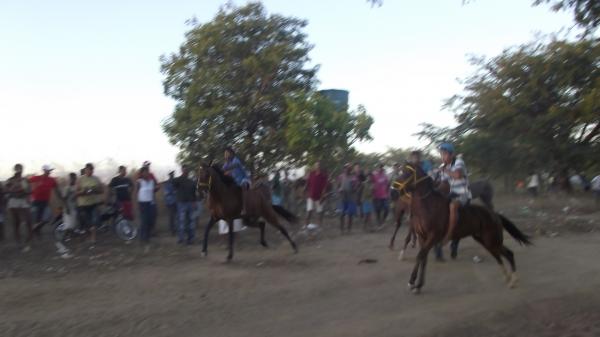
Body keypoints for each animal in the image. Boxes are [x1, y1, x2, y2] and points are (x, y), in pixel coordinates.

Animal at [396, 162, 532, 292]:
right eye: (400, 171)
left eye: (407, 172)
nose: (394, 188)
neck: (428, 206)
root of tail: (495, 215)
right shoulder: (422, 237)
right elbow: (423, 259)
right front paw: (418, 285)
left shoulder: (432, 237)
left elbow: (420, 256)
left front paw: (412, 282)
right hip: (485, 241)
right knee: (501, 256)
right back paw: (509, 279)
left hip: (491, 240)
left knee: (508, 254)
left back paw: (513, 280)